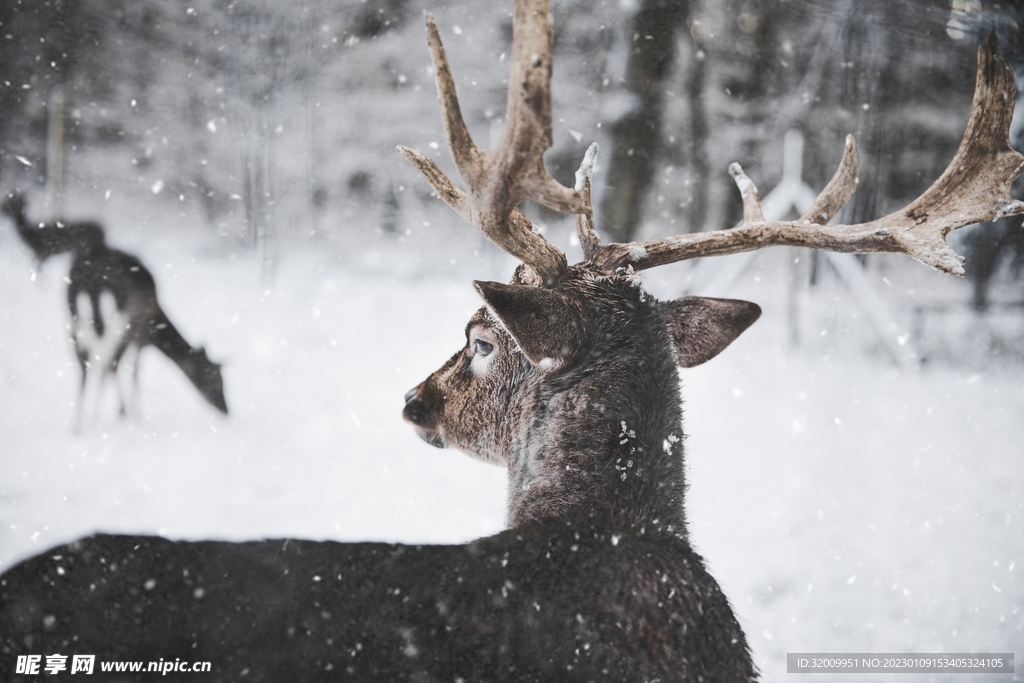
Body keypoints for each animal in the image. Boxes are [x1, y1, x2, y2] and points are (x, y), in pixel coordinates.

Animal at [2, 192, 228, 426]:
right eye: (216, 378)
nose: (226, 410)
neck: (157, 324)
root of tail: (91, 283)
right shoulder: (139, 335)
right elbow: (132, 371)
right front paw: (132, 413)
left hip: (75, 319)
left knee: (84, 364)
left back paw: (78, 423)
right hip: (116, 321)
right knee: (107, 362)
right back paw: (104, 415)